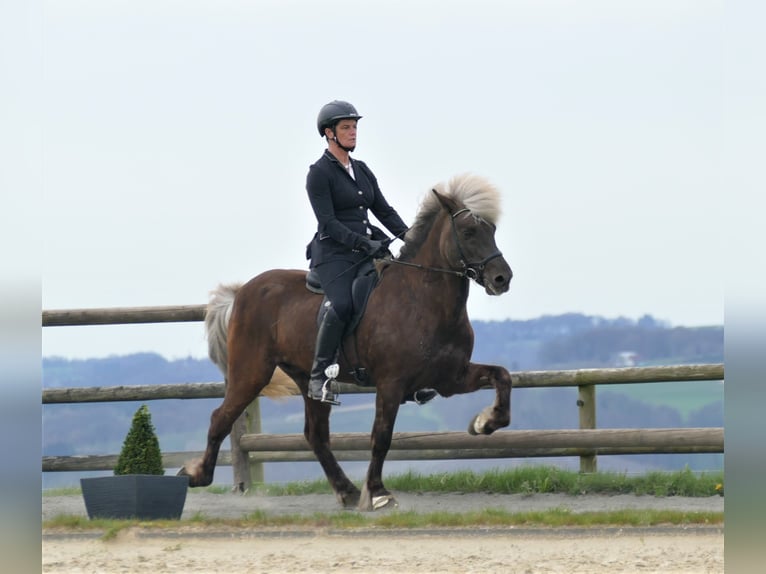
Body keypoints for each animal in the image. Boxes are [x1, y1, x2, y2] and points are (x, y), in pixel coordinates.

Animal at [179, 173, 514, 511]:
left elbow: (502, 376)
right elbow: (381, 437)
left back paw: (347, 491)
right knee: (221, 417)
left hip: (307, 379)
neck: (422, 299)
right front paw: (378, 492)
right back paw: (196, 475)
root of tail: (241, 292)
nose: (502, 279)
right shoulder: (391, 383)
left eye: (492, 230)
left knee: (315, 434)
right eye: (468, 232)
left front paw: (485, 423)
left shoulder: (451, 378)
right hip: (251, 373)